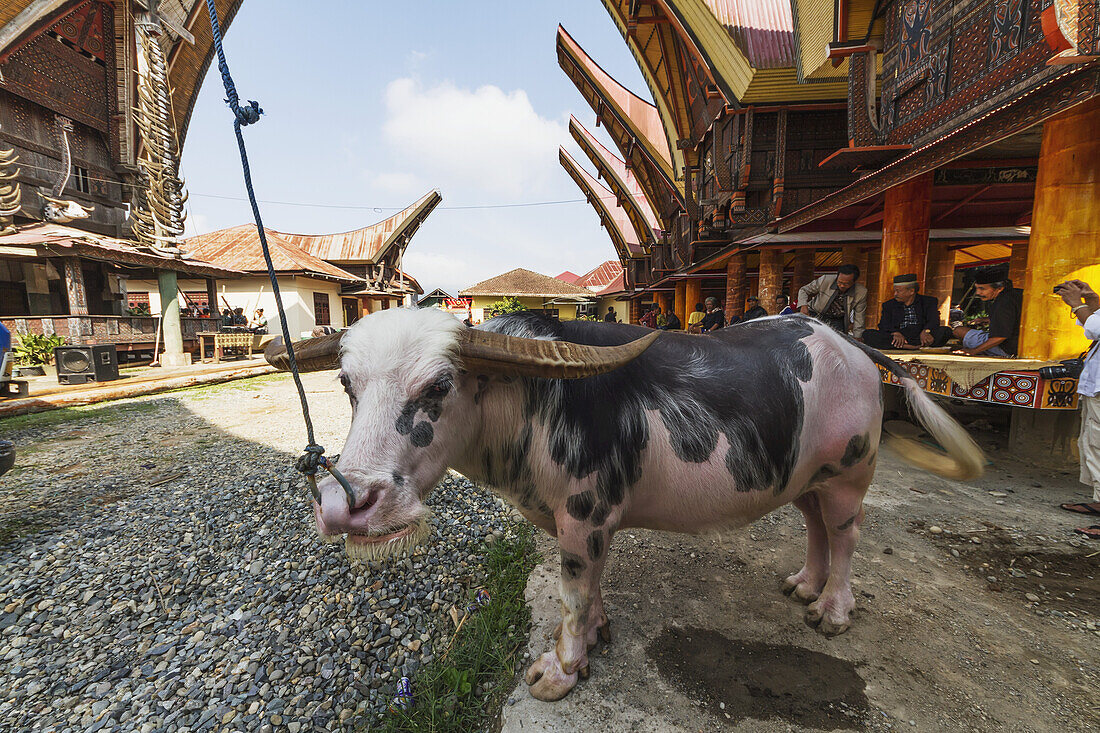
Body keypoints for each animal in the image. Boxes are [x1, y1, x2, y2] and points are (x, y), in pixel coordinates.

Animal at [264, 305, 981, 695]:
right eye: (346, 383)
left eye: (439, 385)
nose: (348, 504)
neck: (531, 403)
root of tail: (849, 345)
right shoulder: (588, 520)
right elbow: (593, 587)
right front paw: (597, 635)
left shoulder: (584, 513)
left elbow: (573, 590)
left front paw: (560, 670)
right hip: (807, 475)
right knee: (817, 528)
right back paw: (804, 584)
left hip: (853, 472)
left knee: (848, 533)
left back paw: (831, 610)